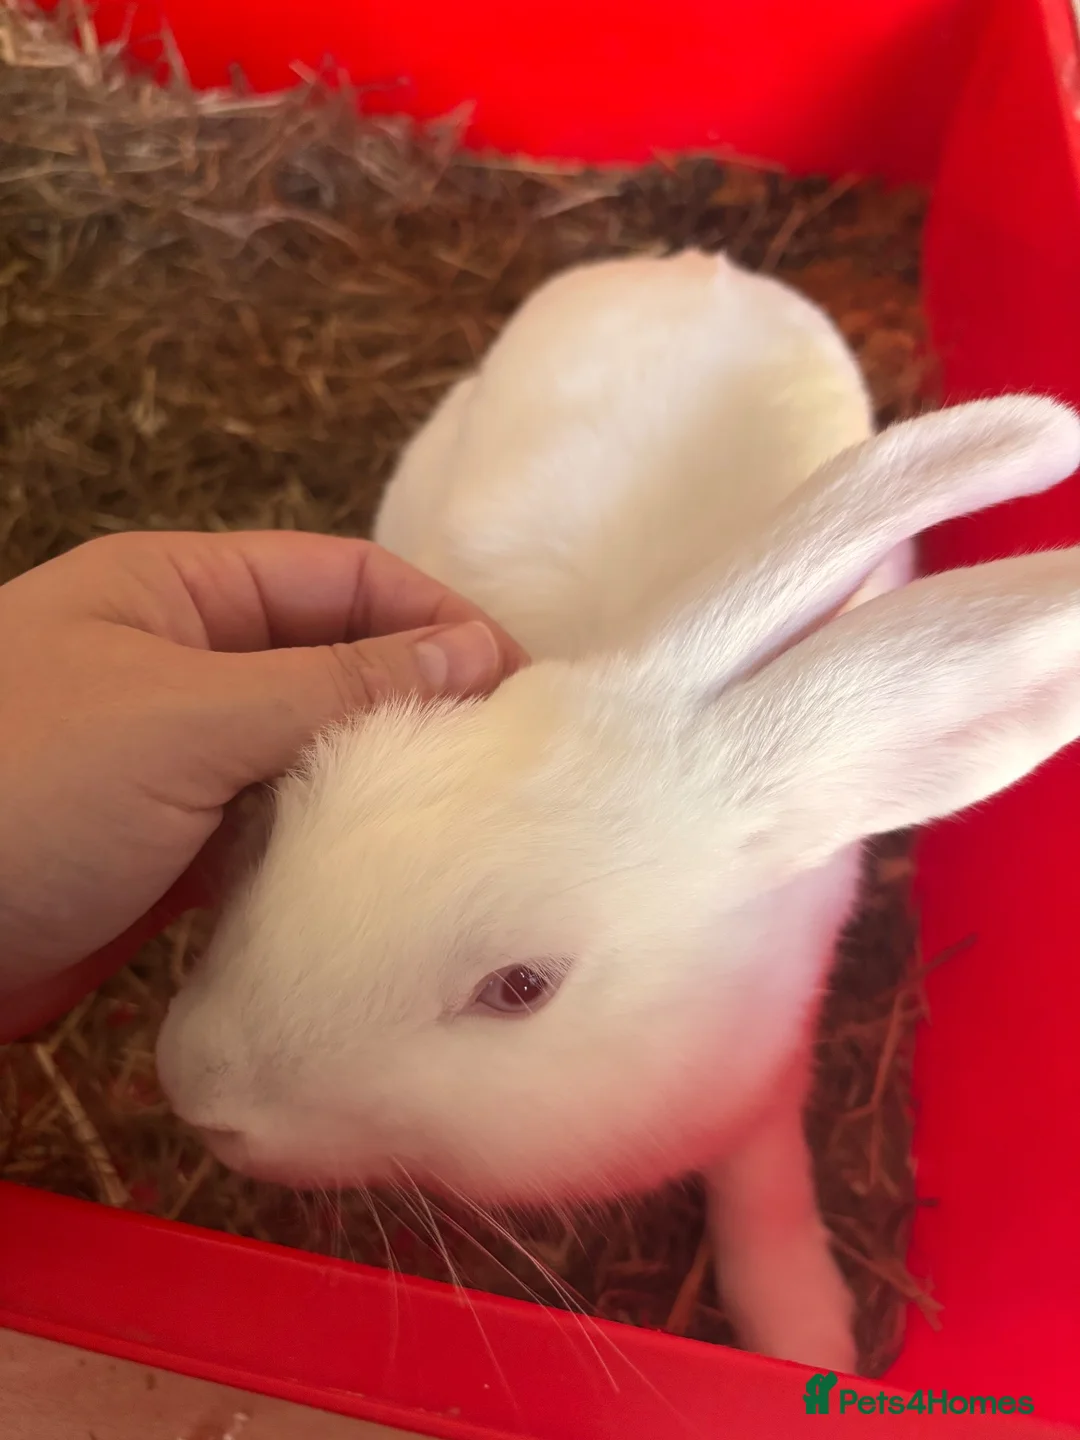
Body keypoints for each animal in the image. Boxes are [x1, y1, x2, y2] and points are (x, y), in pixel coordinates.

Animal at [155, 247, 1080, 1378]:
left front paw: (808, 1340)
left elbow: (765, 1199)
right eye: (285, 825)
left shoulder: (765, 1081)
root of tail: (692, 267)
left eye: (520, 988)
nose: (197, 1086)